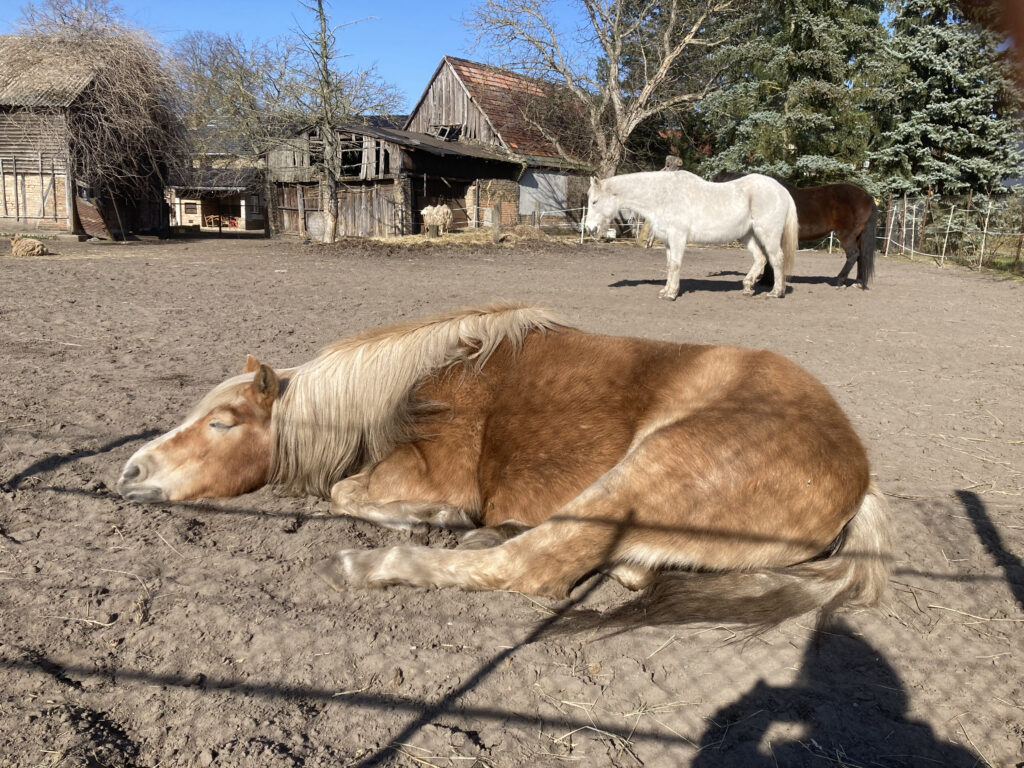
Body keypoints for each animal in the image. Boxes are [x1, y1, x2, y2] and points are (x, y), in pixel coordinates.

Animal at [117, 303, 888, 634]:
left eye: (221, 423)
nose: (130, 473)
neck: (414, 390)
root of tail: (858, 473)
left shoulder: (427, 471)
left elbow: (344, 492)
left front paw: (432, 520)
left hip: (649, 470)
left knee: (533, 567)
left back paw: (381, 564)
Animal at [585, 171, 798, 301]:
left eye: (594, 201)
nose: (589, 228)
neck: (663, 196)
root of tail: (782, 190)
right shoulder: (668, 241)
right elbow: (669, 265)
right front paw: (665, 291)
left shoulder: (677, 237)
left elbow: (675, 265)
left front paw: (671, 294)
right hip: (748, 235)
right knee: (760, 258)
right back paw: (747, 287)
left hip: (767, 233)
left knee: (776, 258)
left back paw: (776, 292)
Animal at [716, 173, 876, 290]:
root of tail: (867, 196)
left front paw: (767, 281)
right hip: (858, 236)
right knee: (861, 257)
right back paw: (858, 283)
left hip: (846, 235)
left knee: (853, 255)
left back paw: (840, 281)